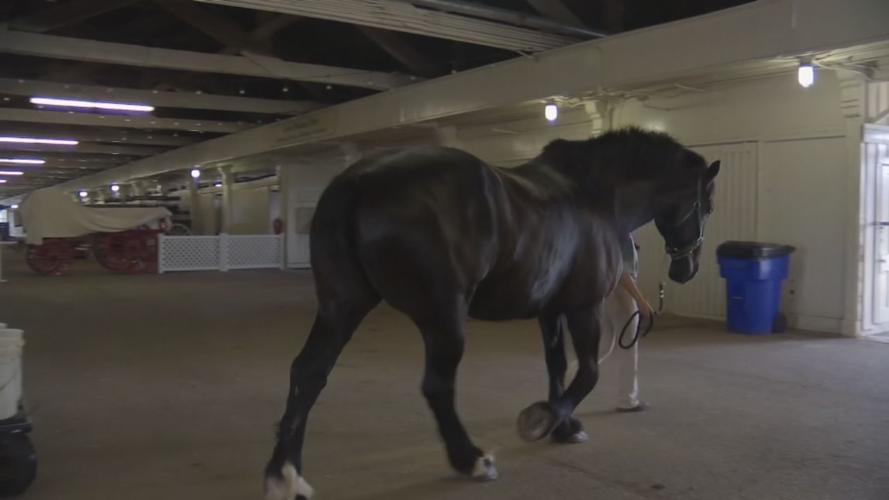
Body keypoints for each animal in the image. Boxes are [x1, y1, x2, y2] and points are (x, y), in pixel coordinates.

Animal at [264, 127, 720, 500]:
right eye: (707, 205)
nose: (686, 268)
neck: (594, 197)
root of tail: (356, 182)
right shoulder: (583, 307)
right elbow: (588, 371)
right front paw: (541, 419)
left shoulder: (551, 310)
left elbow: (557, 365)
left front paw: (563, 426)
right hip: (443, 318)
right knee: (436, 386)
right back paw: (471, 459)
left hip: (343, 305)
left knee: (309, 373)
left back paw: (285, 475)